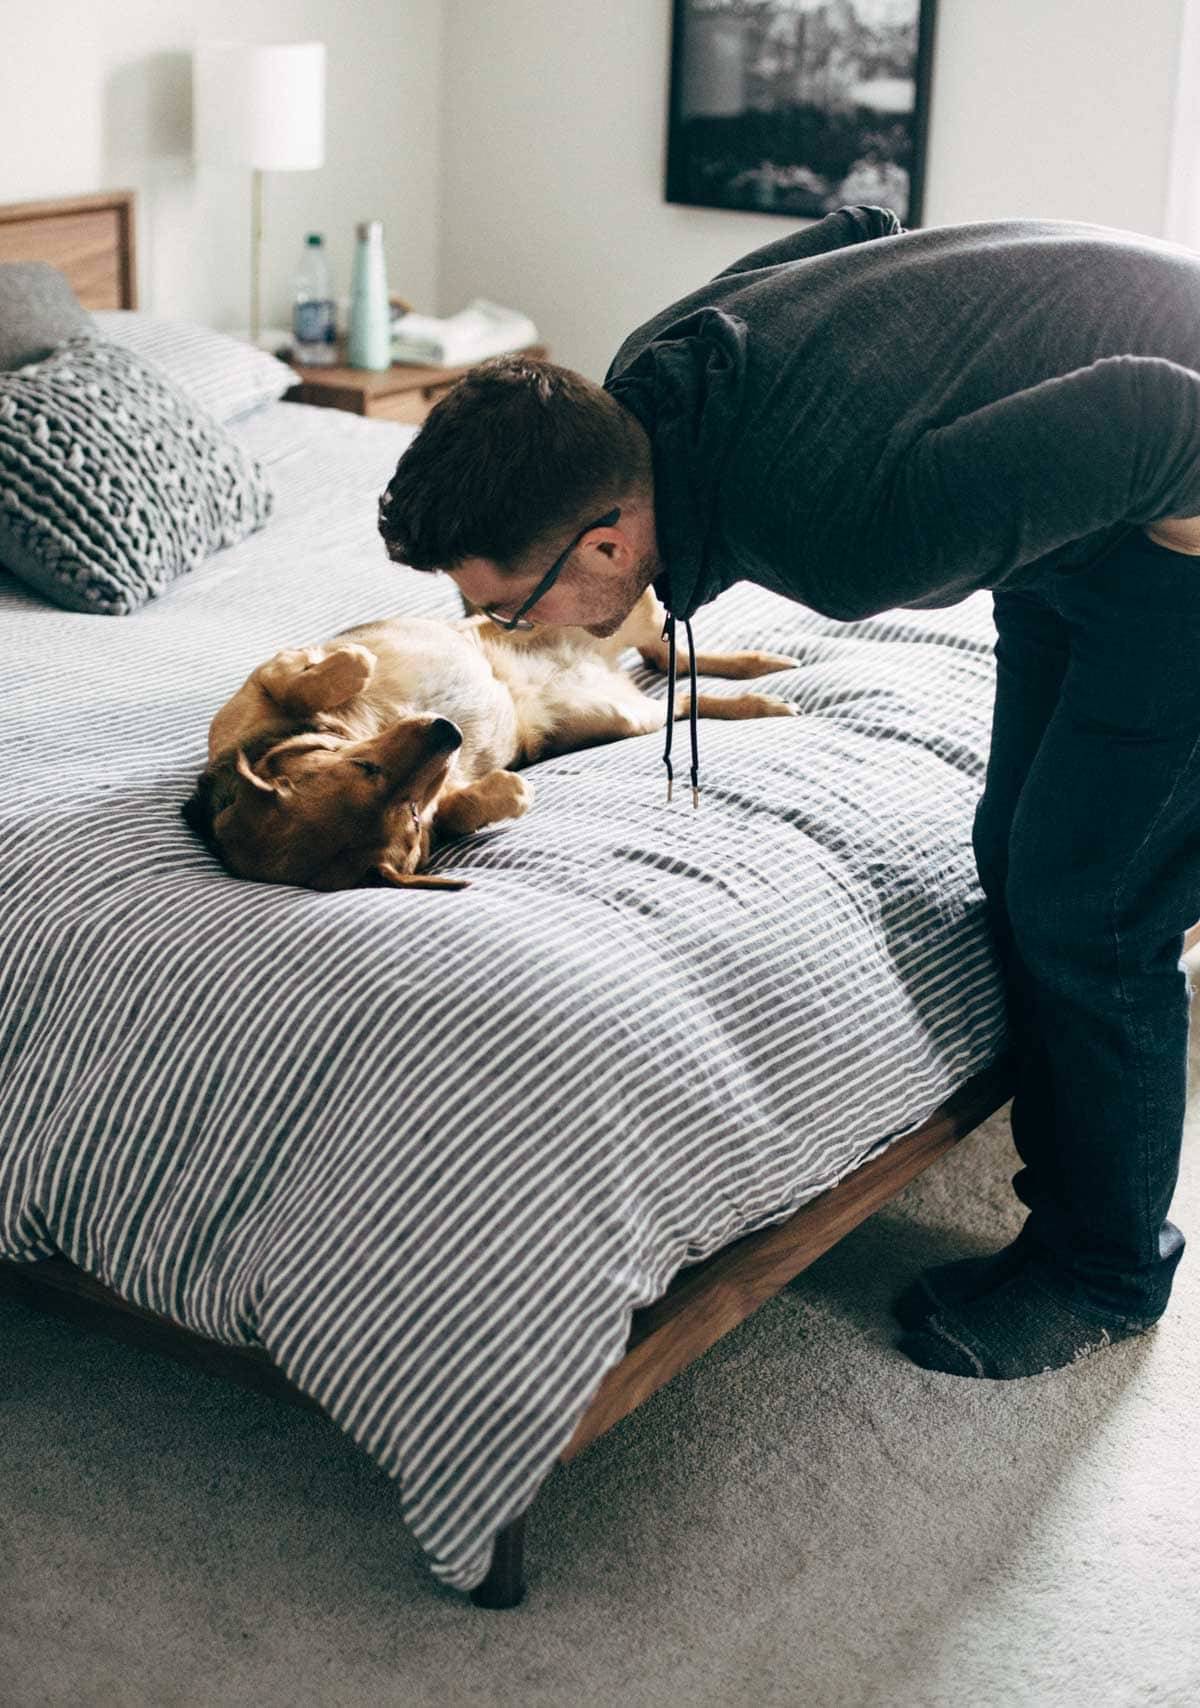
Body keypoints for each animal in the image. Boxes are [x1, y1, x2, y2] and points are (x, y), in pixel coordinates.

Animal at [182, 590, 802, 894]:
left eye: (363, 768)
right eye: (409, 819)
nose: (448, 731)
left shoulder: (269, 679)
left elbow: (326, 670)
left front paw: (351, 665)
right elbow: (473, 805)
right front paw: (505, 791)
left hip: (632, 613)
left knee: (666, 646)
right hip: (627, 714)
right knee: (679, 685)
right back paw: (761, 695)